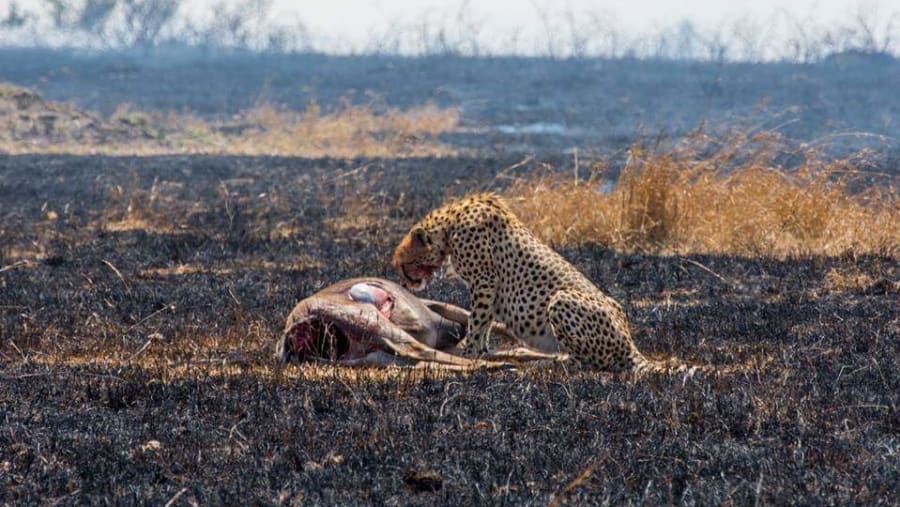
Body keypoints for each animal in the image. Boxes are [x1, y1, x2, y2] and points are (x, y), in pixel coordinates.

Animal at [391, 192, 692, 373]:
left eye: (403, 265)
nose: (404, 284)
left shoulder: (484, 282)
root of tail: (630, 345)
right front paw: (482, 350)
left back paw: (551, 361)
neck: (451, 222)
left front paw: (471, 350)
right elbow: (485, 321)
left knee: (589, 363)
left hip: (561, 300)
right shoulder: (489, 288)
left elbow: (478, 320)